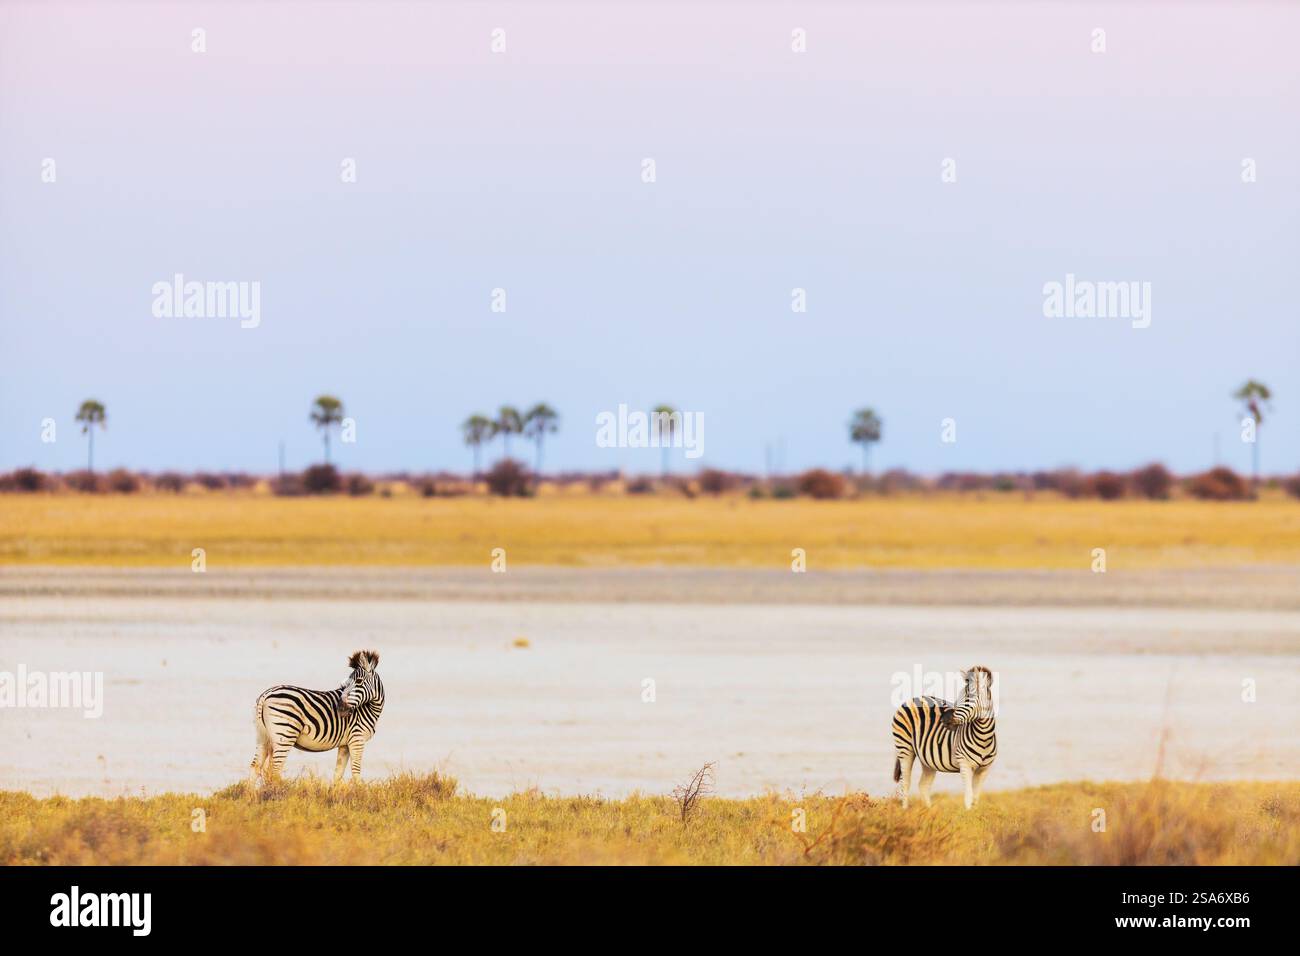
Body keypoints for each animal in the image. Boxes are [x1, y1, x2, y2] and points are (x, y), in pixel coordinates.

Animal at [249, 650, 384, 785]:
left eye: (359, 681)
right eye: (346, 684)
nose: (340, 708)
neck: (368, 708)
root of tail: (265, 695)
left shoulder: (345, 744)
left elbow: (338, 774)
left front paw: (335, 791)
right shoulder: (357, 739)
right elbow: (356, 772)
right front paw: (359, 790)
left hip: (262, 736)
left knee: (255, 766)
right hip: (285, 735)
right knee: (274, 771)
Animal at [891, 665, 996, 809]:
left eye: (967, 699)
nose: (944, 719)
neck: (984, 736)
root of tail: (914, 698)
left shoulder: (984, 769)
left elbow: (975, 798)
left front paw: (976, 815)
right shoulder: (965, 764)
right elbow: (968, 796)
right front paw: (968, 815)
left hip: (927, 758)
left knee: (923, 785)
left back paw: (929, 812)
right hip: (904, 748)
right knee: (905, 783)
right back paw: (905, 811)